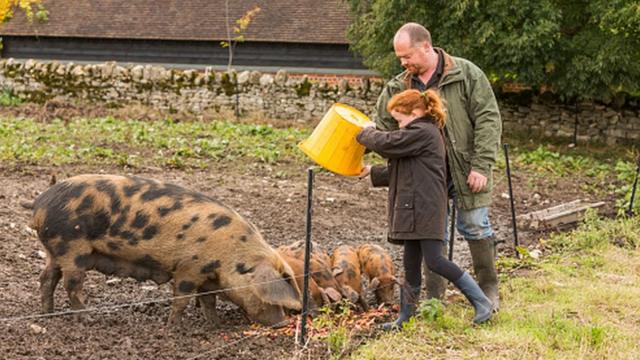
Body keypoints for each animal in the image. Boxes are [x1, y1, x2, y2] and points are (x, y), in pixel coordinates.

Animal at [28, 174, 302, 326]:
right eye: (263, 294)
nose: (280, 324)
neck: (230, 256)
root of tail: (41, 202)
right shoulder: (188, 269)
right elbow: (181, 299)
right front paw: (173, 327)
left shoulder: (207, 276)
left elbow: (209, 301)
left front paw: (214, 325)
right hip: (72, 247)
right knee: (71, 285)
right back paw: (88, 319)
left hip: (56, 251)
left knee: (47, 277)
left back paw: (47, 314)